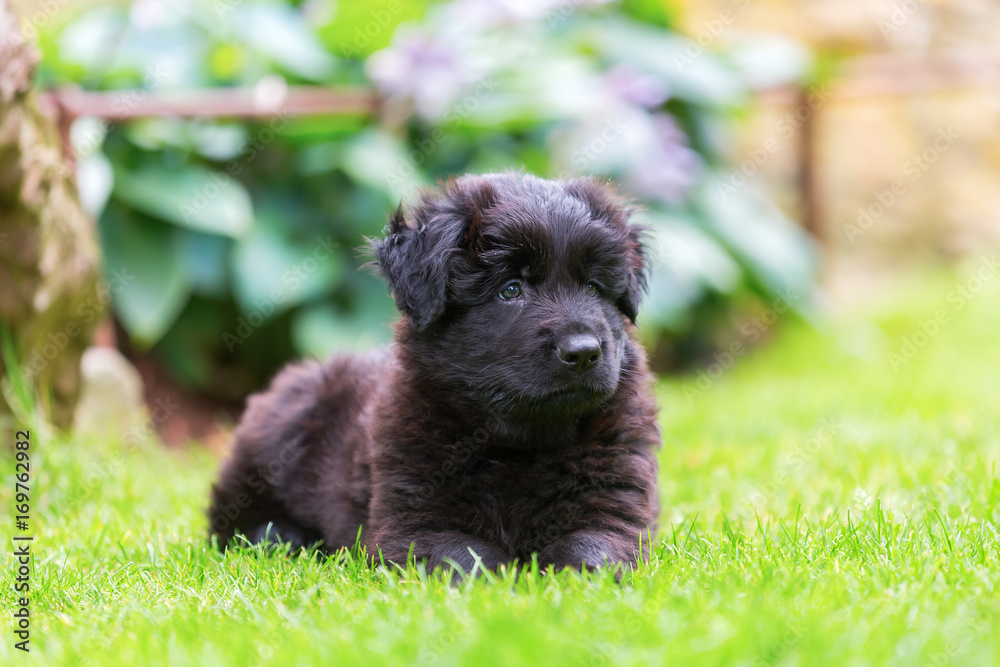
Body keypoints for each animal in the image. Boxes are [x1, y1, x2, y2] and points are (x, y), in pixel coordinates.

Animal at [209, 172, 664, 576]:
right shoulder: (412, 523)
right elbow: (468, 558)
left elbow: (592, 548)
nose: (584, 352)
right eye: (510, 290)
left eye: (593, 288)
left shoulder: (615, 501)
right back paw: (280, 535)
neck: (520, 443)